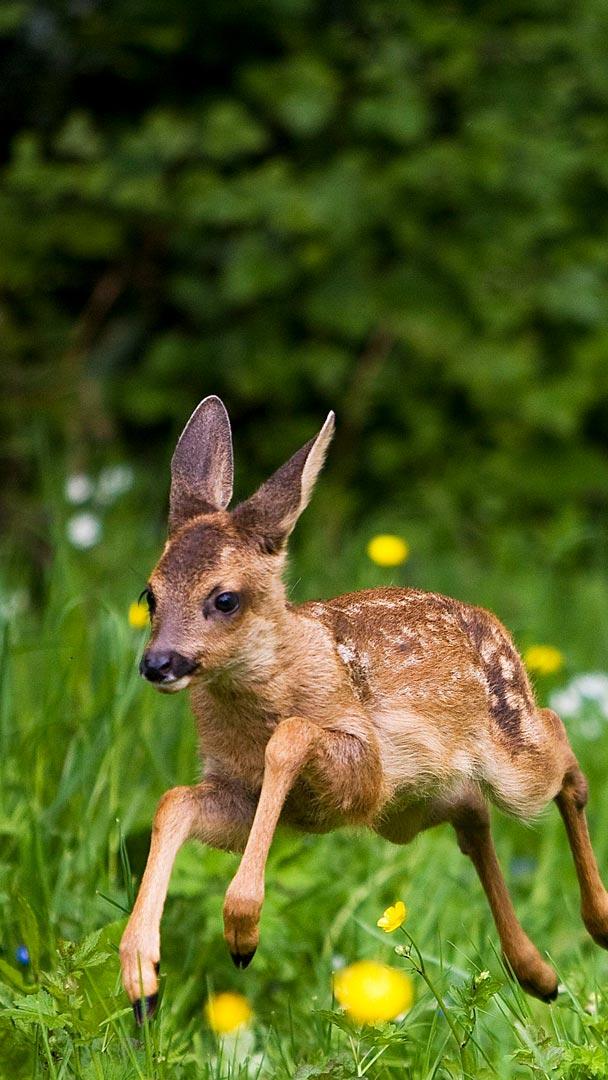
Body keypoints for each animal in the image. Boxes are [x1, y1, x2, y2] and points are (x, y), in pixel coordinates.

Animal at [119, 395, 608, 1023]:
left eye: (224, 599)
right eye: (149, 595)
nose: (158, 663)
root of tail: (497, 628)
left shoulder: (361, 763)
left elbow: (292, 737)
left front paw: (242, 934)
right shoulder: (243, 794)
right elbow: (173, 802)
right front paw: (141, 978)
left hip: (507, 764)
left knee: (560, 749)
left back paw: (597, 925)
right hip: (405, 809)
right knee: (473, 812)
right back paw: (540, 976)